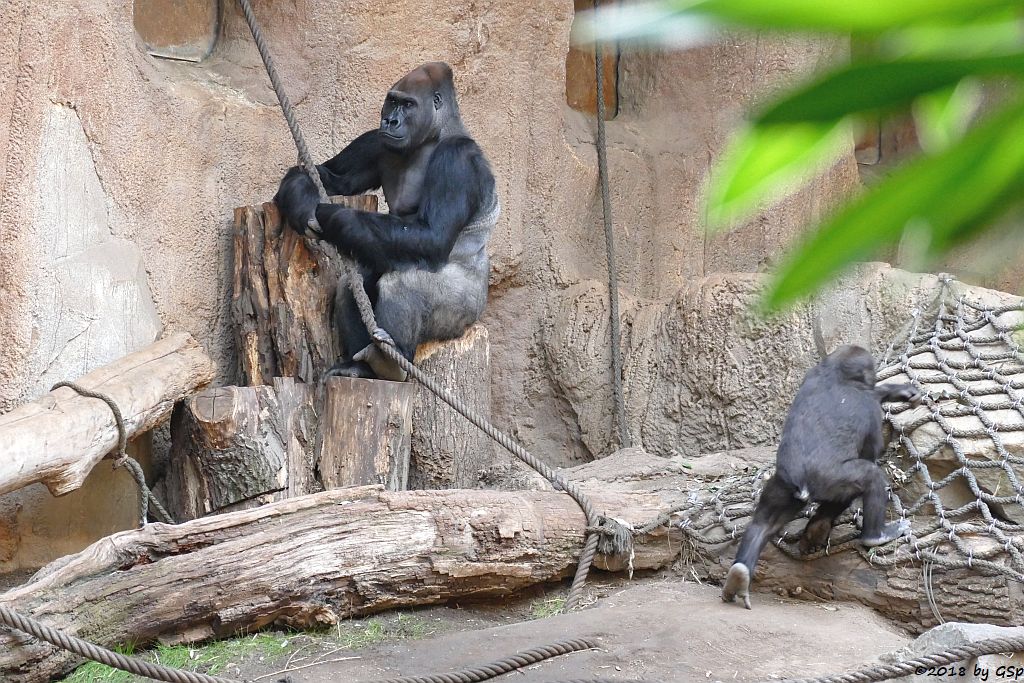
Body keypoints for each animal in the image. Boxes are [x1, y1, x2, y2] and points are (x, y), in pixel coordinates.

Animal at [270, 61, 497, 382]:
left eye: (408, 104)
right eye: (392, 101)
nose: (390, 120)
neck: (434, 135)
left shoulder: (458, 160)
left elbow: (432, 236)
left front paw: (334, 217)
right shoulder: (374, 140)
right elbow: (327, 176)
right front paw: (301, 201)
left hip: (462, 314)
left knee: (405, 280)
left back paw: (393, 359)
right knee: (355, 281)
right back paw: (363, 366)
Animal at [720, 348, 921, 610]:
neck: (836, 374)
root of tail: (801, 482)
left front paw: (897, 390)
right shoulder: (867, 404)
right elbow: (872, 450)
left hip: (782, 487)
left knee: (762, 525)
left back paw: (739, 575)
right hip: (830, 481)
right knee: (871, 477)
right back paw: (875, 536)